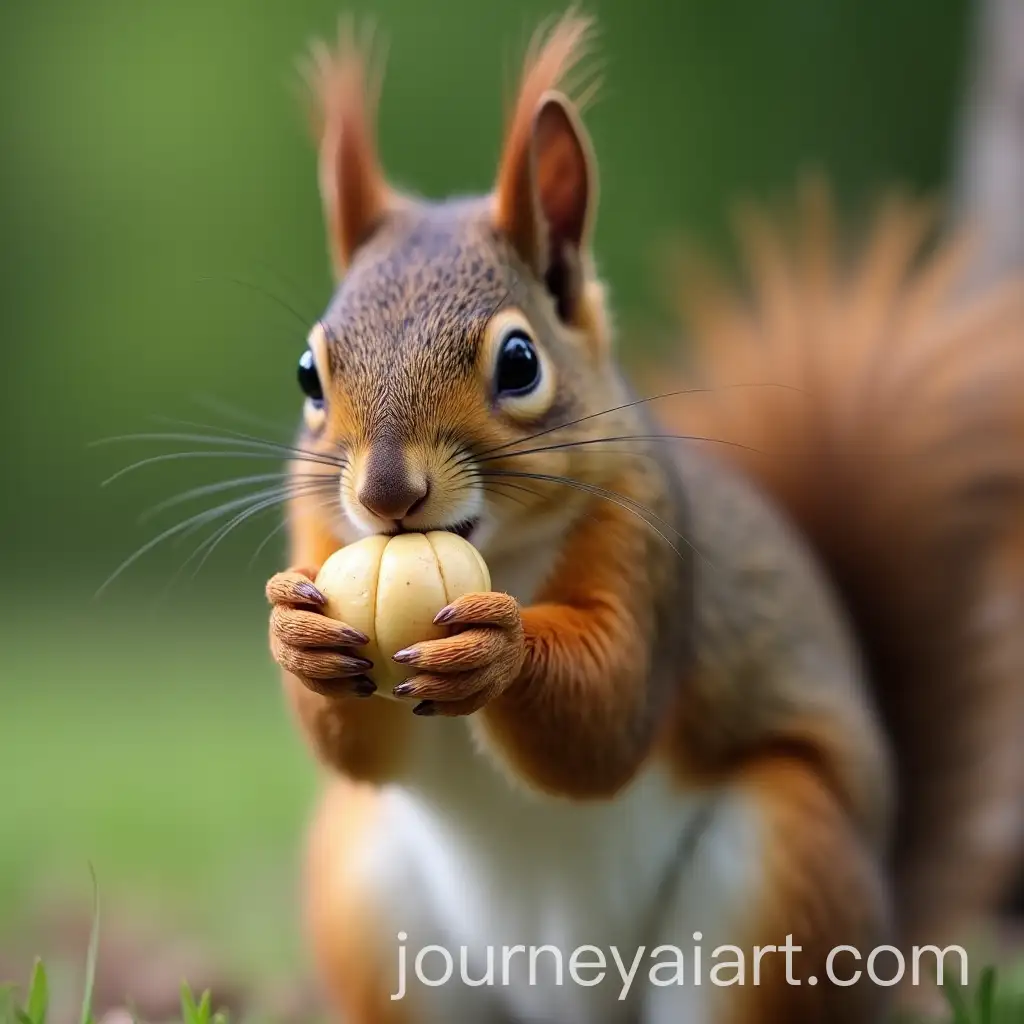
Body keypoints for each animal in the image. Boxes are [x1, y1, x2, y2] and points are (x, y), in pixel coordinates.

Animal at [265, 11, 1024, 1023]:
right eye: (309, 374)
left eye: (520, 362)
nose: (386, 496)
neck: (503, 554)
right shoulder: (317, 538)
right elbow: (361, 753)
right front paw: (296, 633)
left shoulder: (650, 550)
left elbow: (609, 714)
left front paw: (498, 648)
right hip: (366, 896)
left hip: (779, 879)